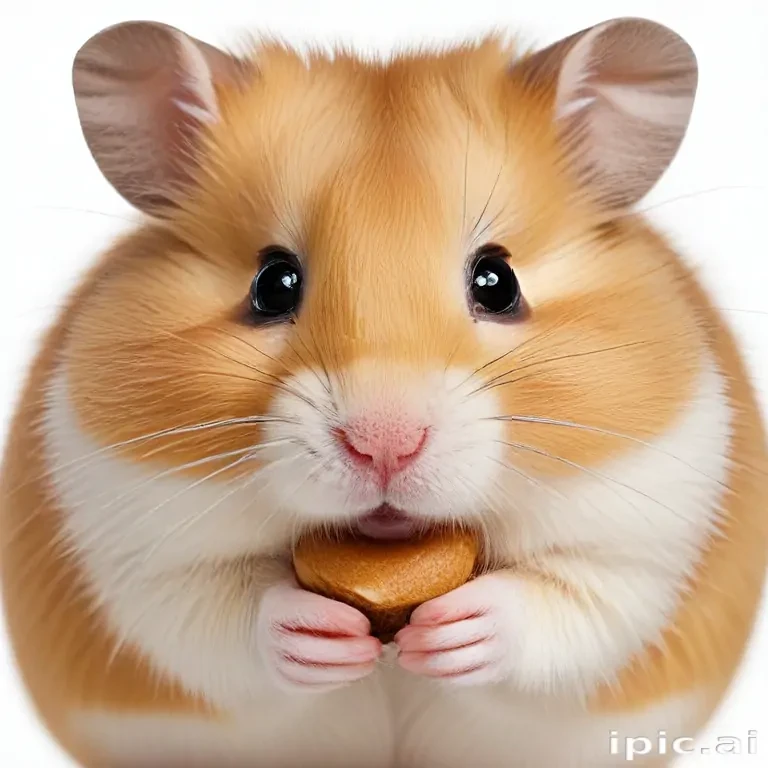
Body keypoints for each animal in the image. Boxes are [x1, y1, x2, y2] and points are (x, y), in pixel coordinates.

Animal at [1, 15, 766, 768]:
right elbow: (221, 613)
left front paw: (453, 631)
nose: (384, 447)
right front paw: (321, 635)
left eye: (498, 282)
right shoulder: (130, 545)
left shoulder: (647, 531)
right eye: (272, 284)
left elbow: (566, 598)